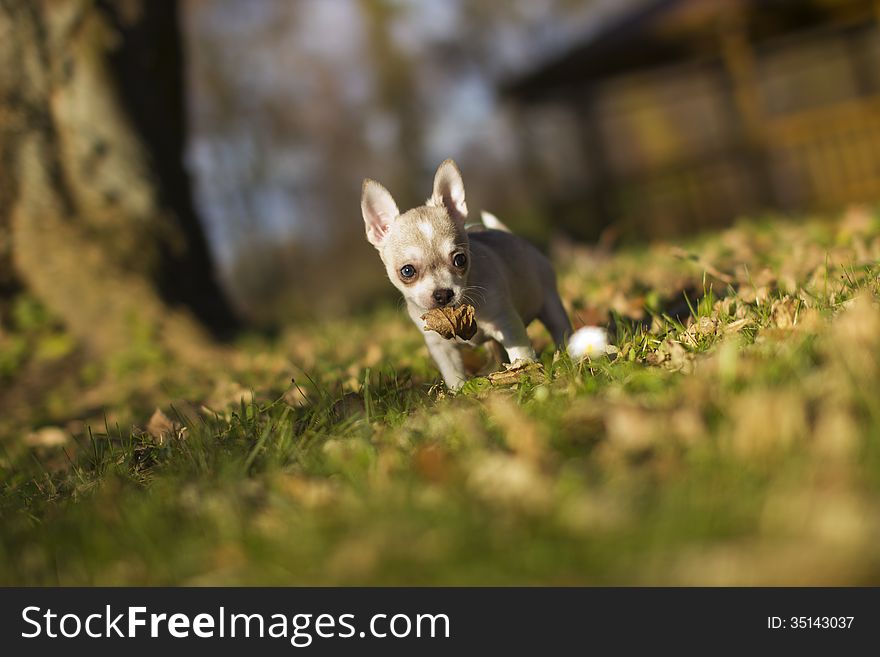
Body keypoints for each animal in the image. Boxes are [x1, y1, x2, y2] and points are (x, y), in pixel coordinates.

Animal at [360, 158, 572, 386]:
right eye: (407, 271)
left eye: (460, 259)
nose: (443, 294)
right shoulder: (441, 347)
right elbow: (453, 374)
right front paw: (459, 391)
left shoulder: (507, 323)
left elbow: (520, 354)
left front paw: (525, 373)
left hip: (549, 300)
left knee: (560, 327)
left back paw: (569, 354)